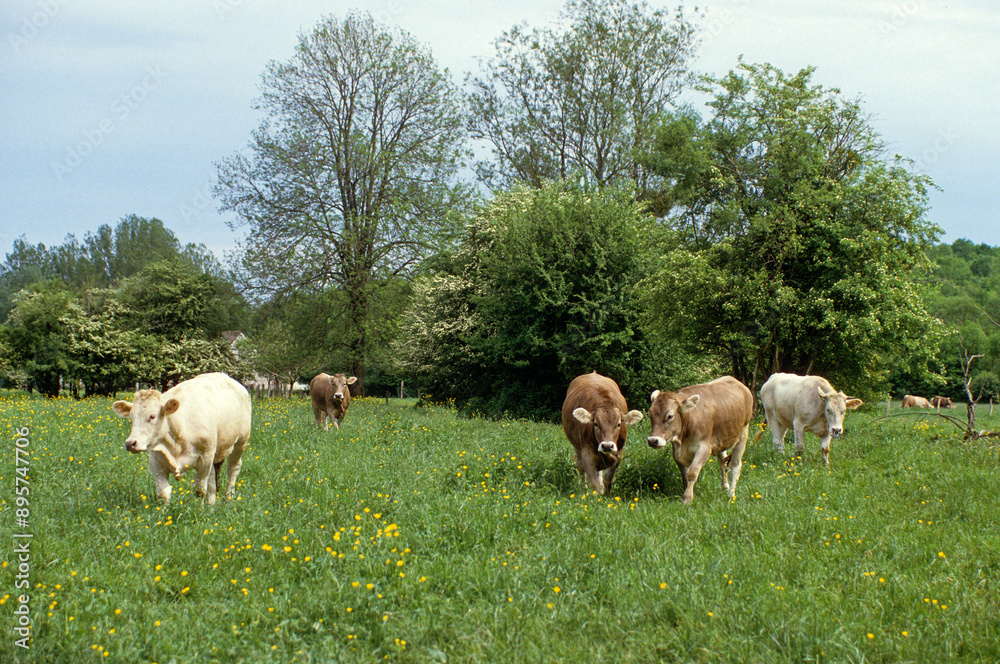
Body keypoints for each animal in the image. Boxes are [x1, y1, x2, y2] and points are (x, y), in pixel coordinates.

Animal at [111, 372, 251, 504]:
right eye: (131, 418)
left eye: (152, 416)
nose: (130, 443)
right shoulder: (156, 459)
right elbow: (163, 493)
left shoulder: (205, 457)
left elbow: (200, 490)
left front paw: (199, 511)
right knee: (212, 480)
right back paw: (211, 505)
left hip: (240, 442)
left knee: (233, 469)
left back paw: (228, 498)